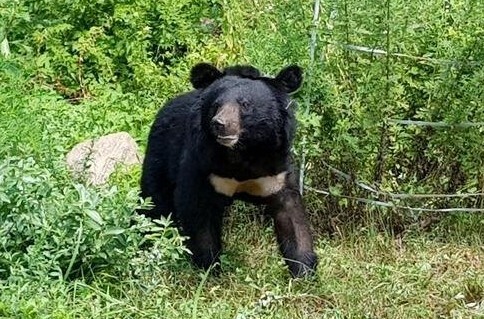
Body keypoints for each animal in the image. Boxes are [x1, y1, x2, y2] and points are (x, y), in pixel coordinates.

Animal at [140, 62, 318, 278]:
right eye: (216, 105)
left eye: (245, 104)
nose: (220, 124)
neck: (242, 152)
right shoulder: (203, 164)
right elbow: (198, 212)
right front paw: (209, 268)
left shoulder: (277, 169)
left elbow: (291, 216)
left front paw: (304, 271)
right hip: (160, 157)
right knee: (155, 204)